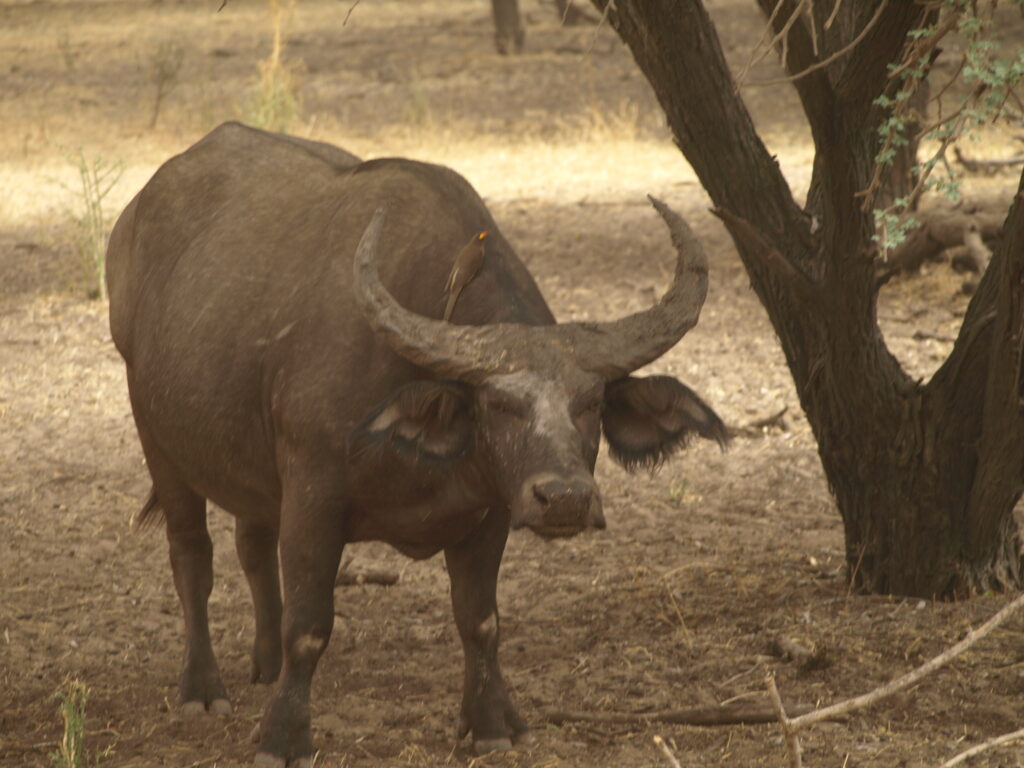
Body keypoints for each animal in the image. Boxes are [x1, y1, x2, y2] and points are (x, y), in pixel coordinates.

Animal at [105, 123, 729, 765]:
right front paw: (284, 736)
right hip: (157, 437)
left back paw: (266, 664)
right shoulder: (312, 497)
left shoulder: (491, 510)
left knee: (250, 544)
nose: (565, 499)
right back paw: (202, 688)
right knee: (192, 556)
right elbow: (309, 626)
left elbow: (480, 620)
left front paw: (492, 722)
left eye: (593, 404)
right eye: (498, 405)